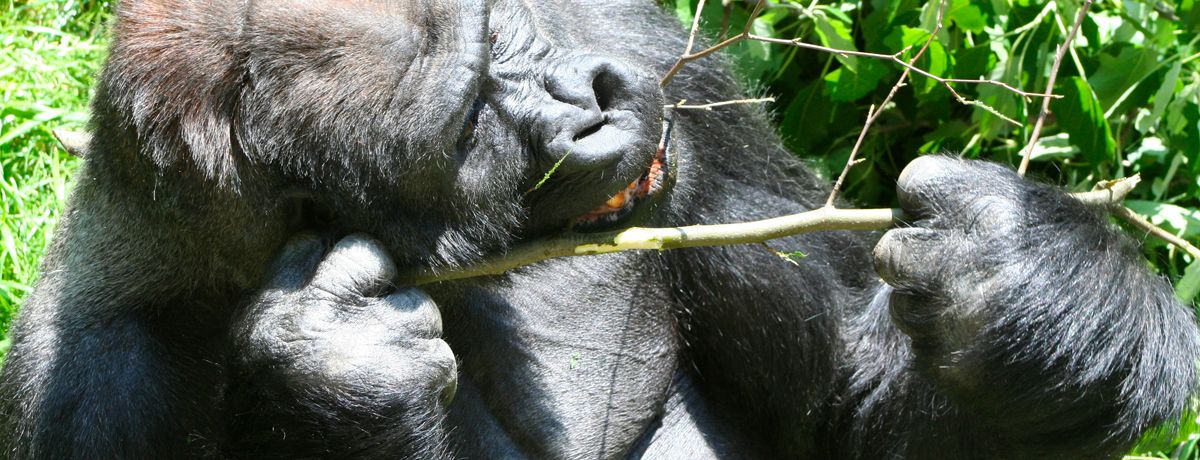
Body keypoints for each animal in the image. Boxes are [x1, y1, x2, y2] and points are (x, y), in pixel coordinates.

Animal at [2, 0, 1200, 458]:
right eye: (469, 119)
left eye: (501, 29)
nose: (596, 100)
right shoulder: (91, 391)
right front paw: (336, 372)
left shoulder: (634, 34)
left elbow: (847, 409)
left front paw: (1029, 285)